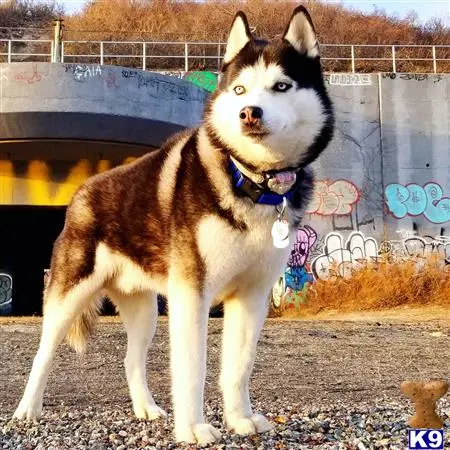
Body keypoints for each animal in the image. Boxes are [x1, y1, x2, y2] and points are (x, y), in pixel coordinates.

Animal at [14, 7, 332, 446]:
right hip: (68, 297)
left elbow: (239, 367)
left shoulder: (252, 296)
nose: (249, 112)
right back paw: (27, 410)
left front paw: (240, 420)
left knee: (131, 359)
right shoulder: (192, 295)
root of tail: (81, 191)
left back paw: (146, 409)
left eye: (281, 86)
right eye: (239, 90)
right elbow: (192, 368)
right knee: (42, 354)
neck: (251, 182)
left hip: (146, 309)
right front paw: (194, 428)